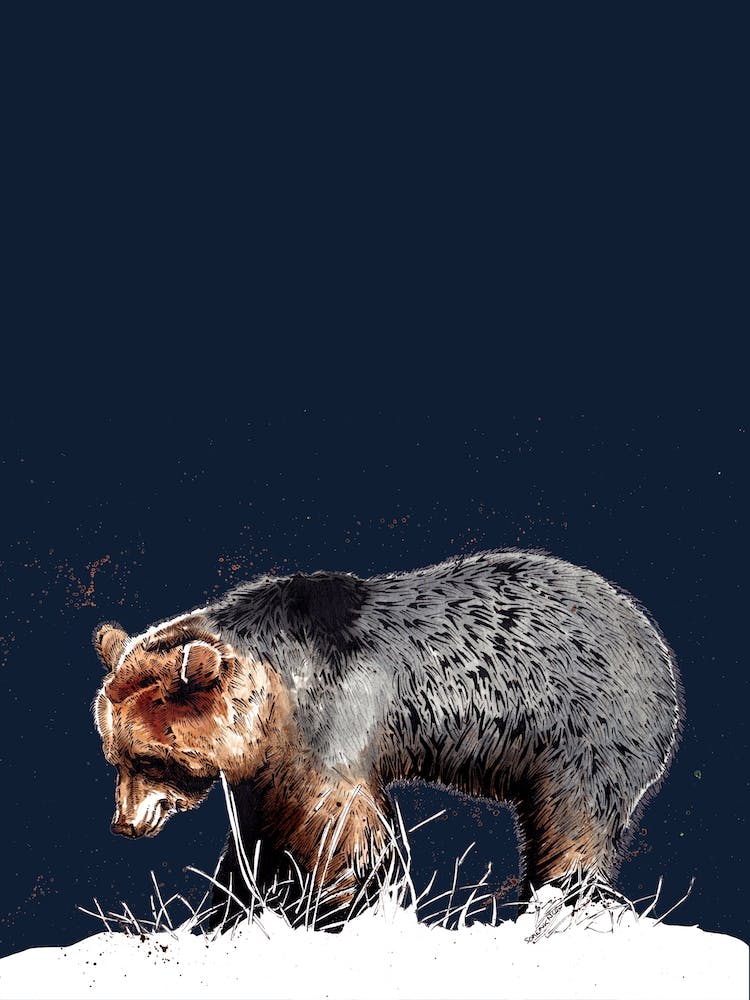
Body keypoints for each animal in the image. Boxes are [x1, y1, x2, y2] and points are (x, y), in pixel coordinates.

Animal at [93, 549, 683, 929]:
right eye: (114, 755)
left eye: (150, 757)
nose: (125, 824)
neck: (275, 698)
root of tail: (651, 640)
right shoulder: (270, 763)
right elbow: (255, 838)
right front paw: (227, 910)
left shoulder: (333, 719)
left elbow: (338, 825)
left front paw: (338, 907)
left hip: (581, 731)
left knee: (574, 821)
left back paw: (563, 902)